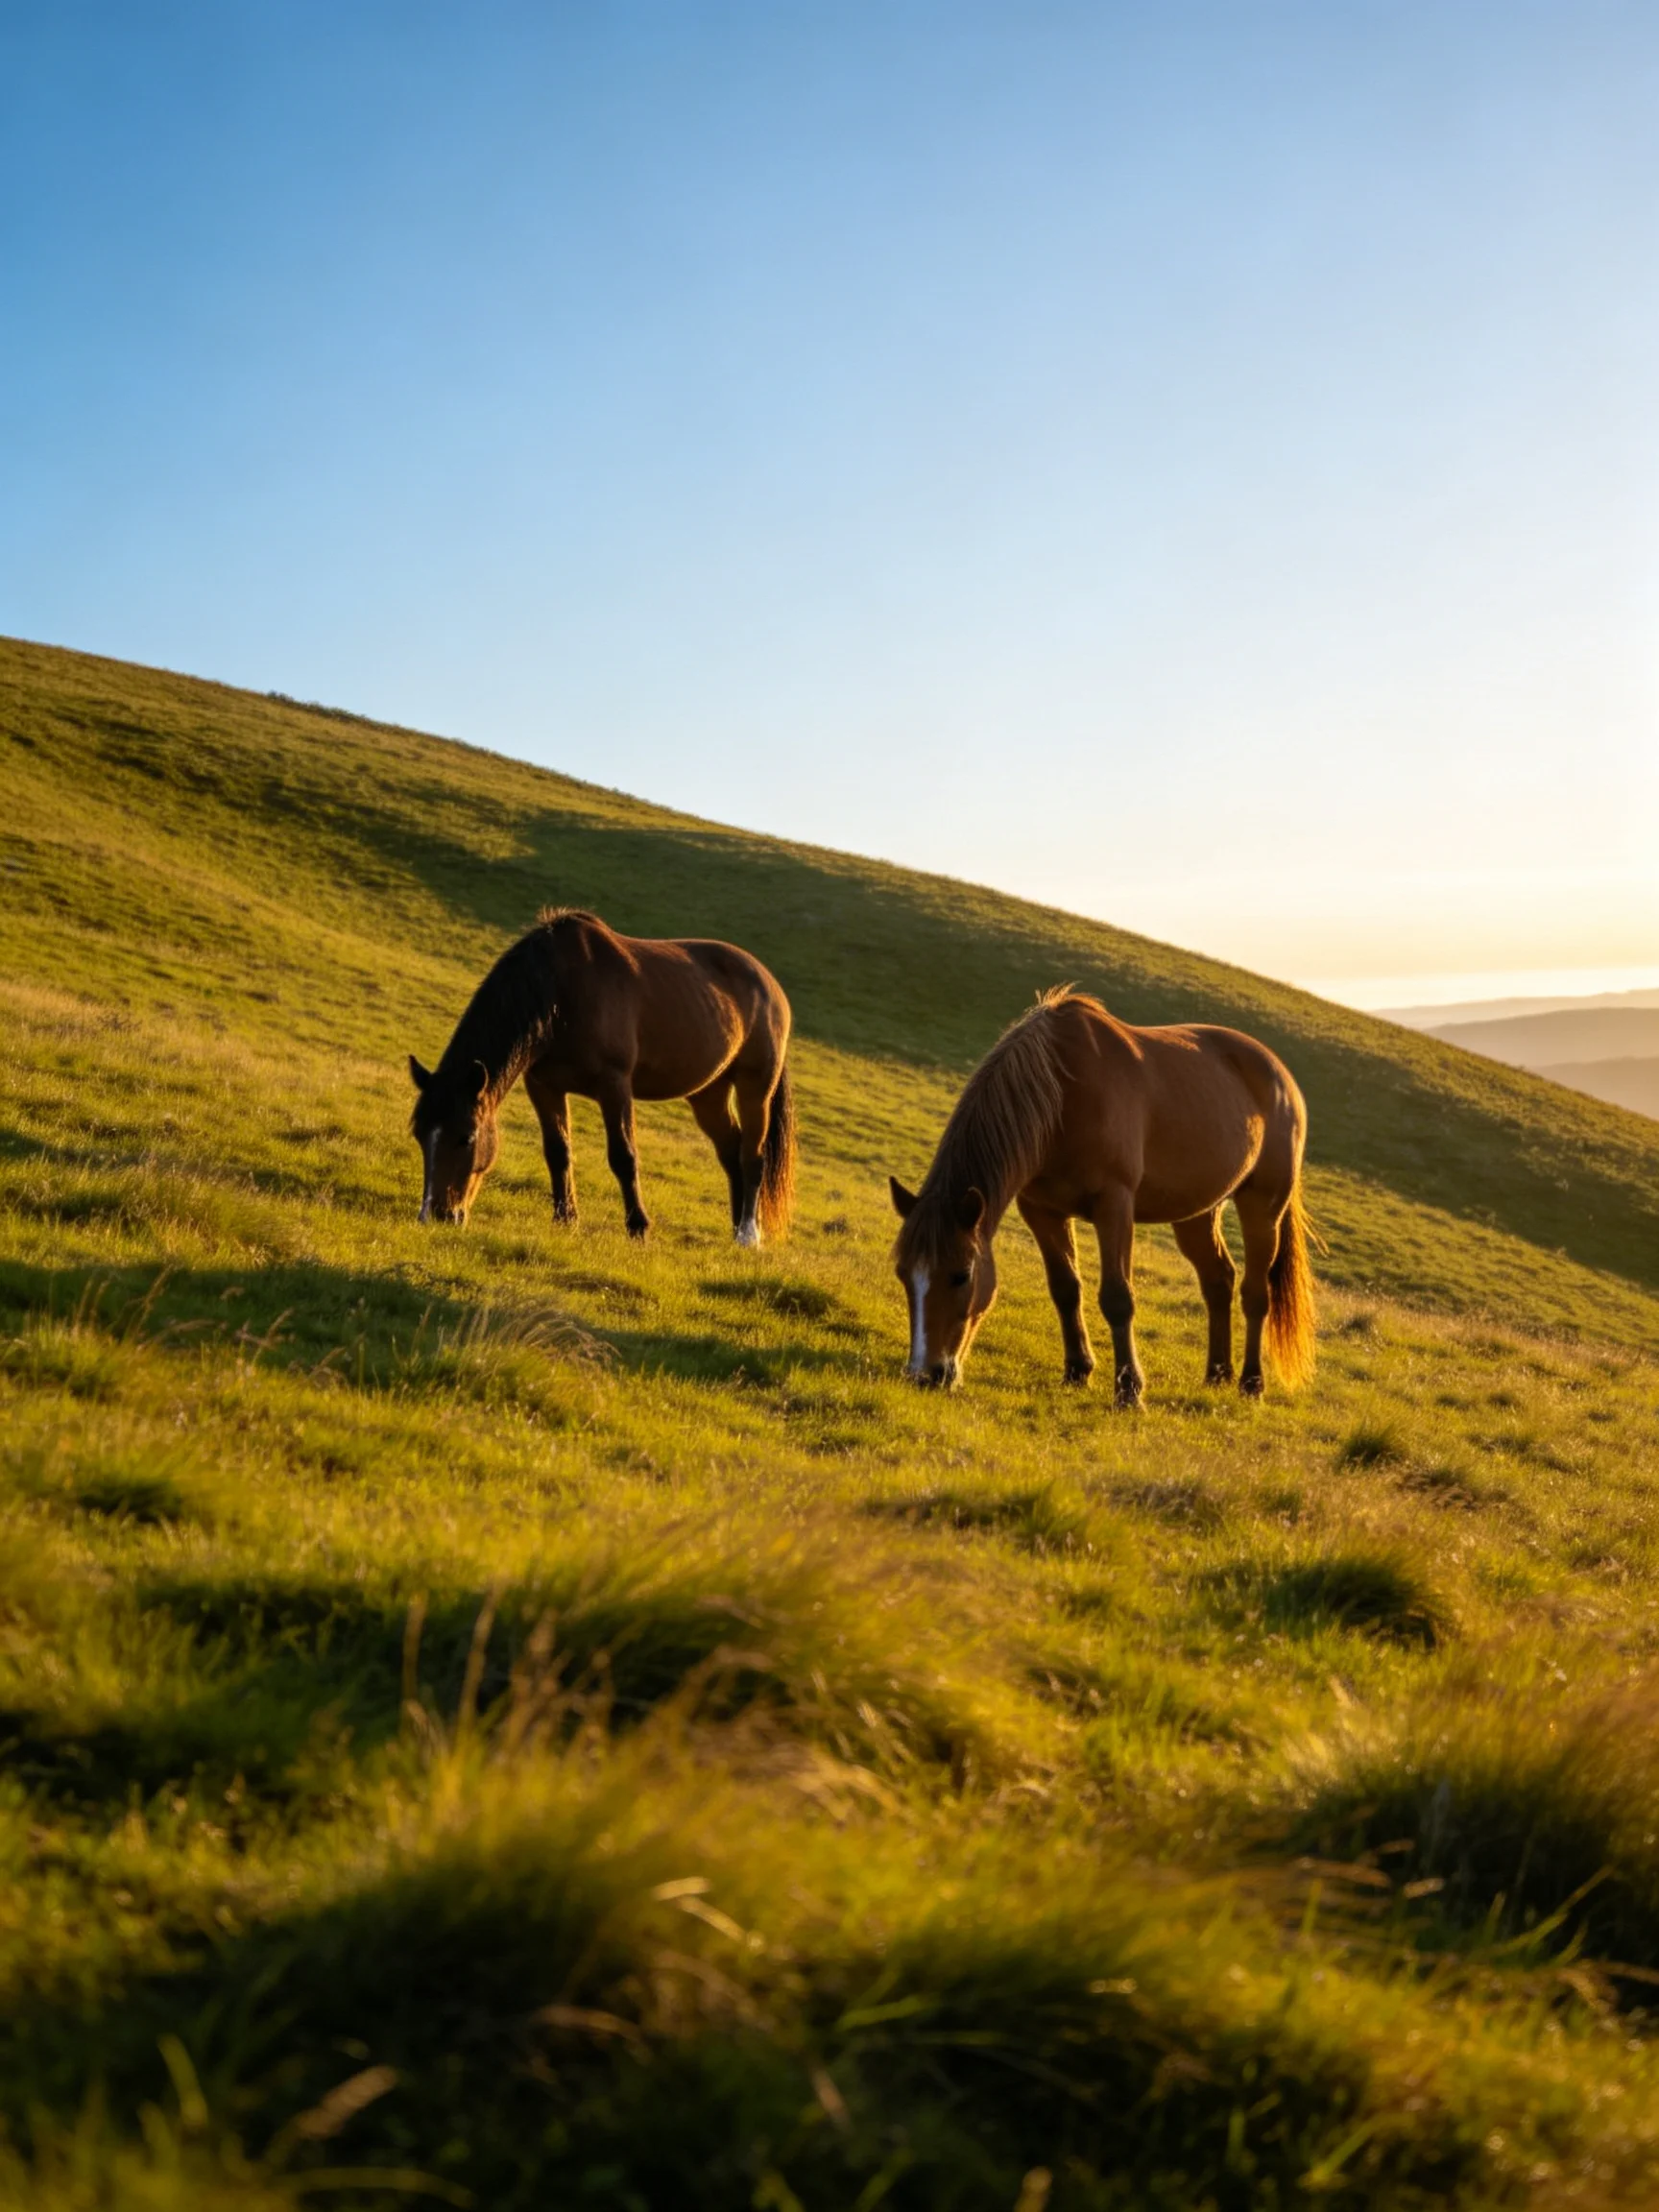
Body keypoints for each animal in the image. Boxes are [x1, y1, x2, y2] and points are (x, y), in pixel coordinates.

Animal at [408, 909, 796, 1244]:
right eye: (420, 1135)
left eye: (466, 1138)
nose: (435, 1216)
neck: (560, 992)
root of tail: (769, 984)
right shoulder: (543, 1086)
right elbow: (558, 1151)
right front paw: (565, 1219)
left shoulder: (614, 1086)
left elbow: (623, 1156)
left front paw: (638, 1226)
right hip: (708, 1094)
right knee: (731, 1152)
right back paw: (735, 1228)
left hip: (755, 1087)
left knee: (752, 1156)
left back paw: (748, 1235)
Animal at [889, 987, 1315, 1403]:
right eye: (903, 1274)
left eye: (961, 1276)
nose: (924, 1375)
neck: (1062, 1094)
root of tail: (1280, 1075)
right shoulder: (1042, 1211)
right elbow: (1065, 1289)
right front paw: (1078, 1371)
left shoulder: (1114, 1205)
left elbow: (1117, 1298)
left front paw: (1129, 1390)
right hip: (1196, 1212)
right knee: (1218, 1280)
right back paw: (1217, 1374)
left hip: (1263, 1208)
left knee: (1255, 1293)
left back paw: (1251, 1383)